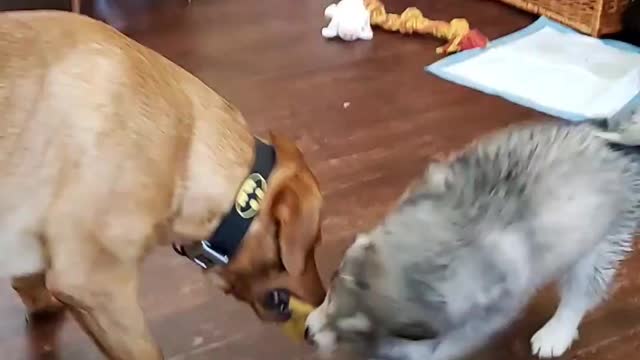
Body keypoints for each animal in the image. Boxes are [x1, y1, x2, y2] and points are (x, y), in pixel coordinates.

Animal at [302, 119, 640, 360]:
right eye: (331, 289)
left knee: (581, 291)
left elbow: (449, 344)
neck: (453, 231)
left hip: (603, 243)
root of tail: (618, 148)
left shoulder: (493, 309)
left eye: (355, 332)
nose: (308, 334)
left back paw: (557, 331)